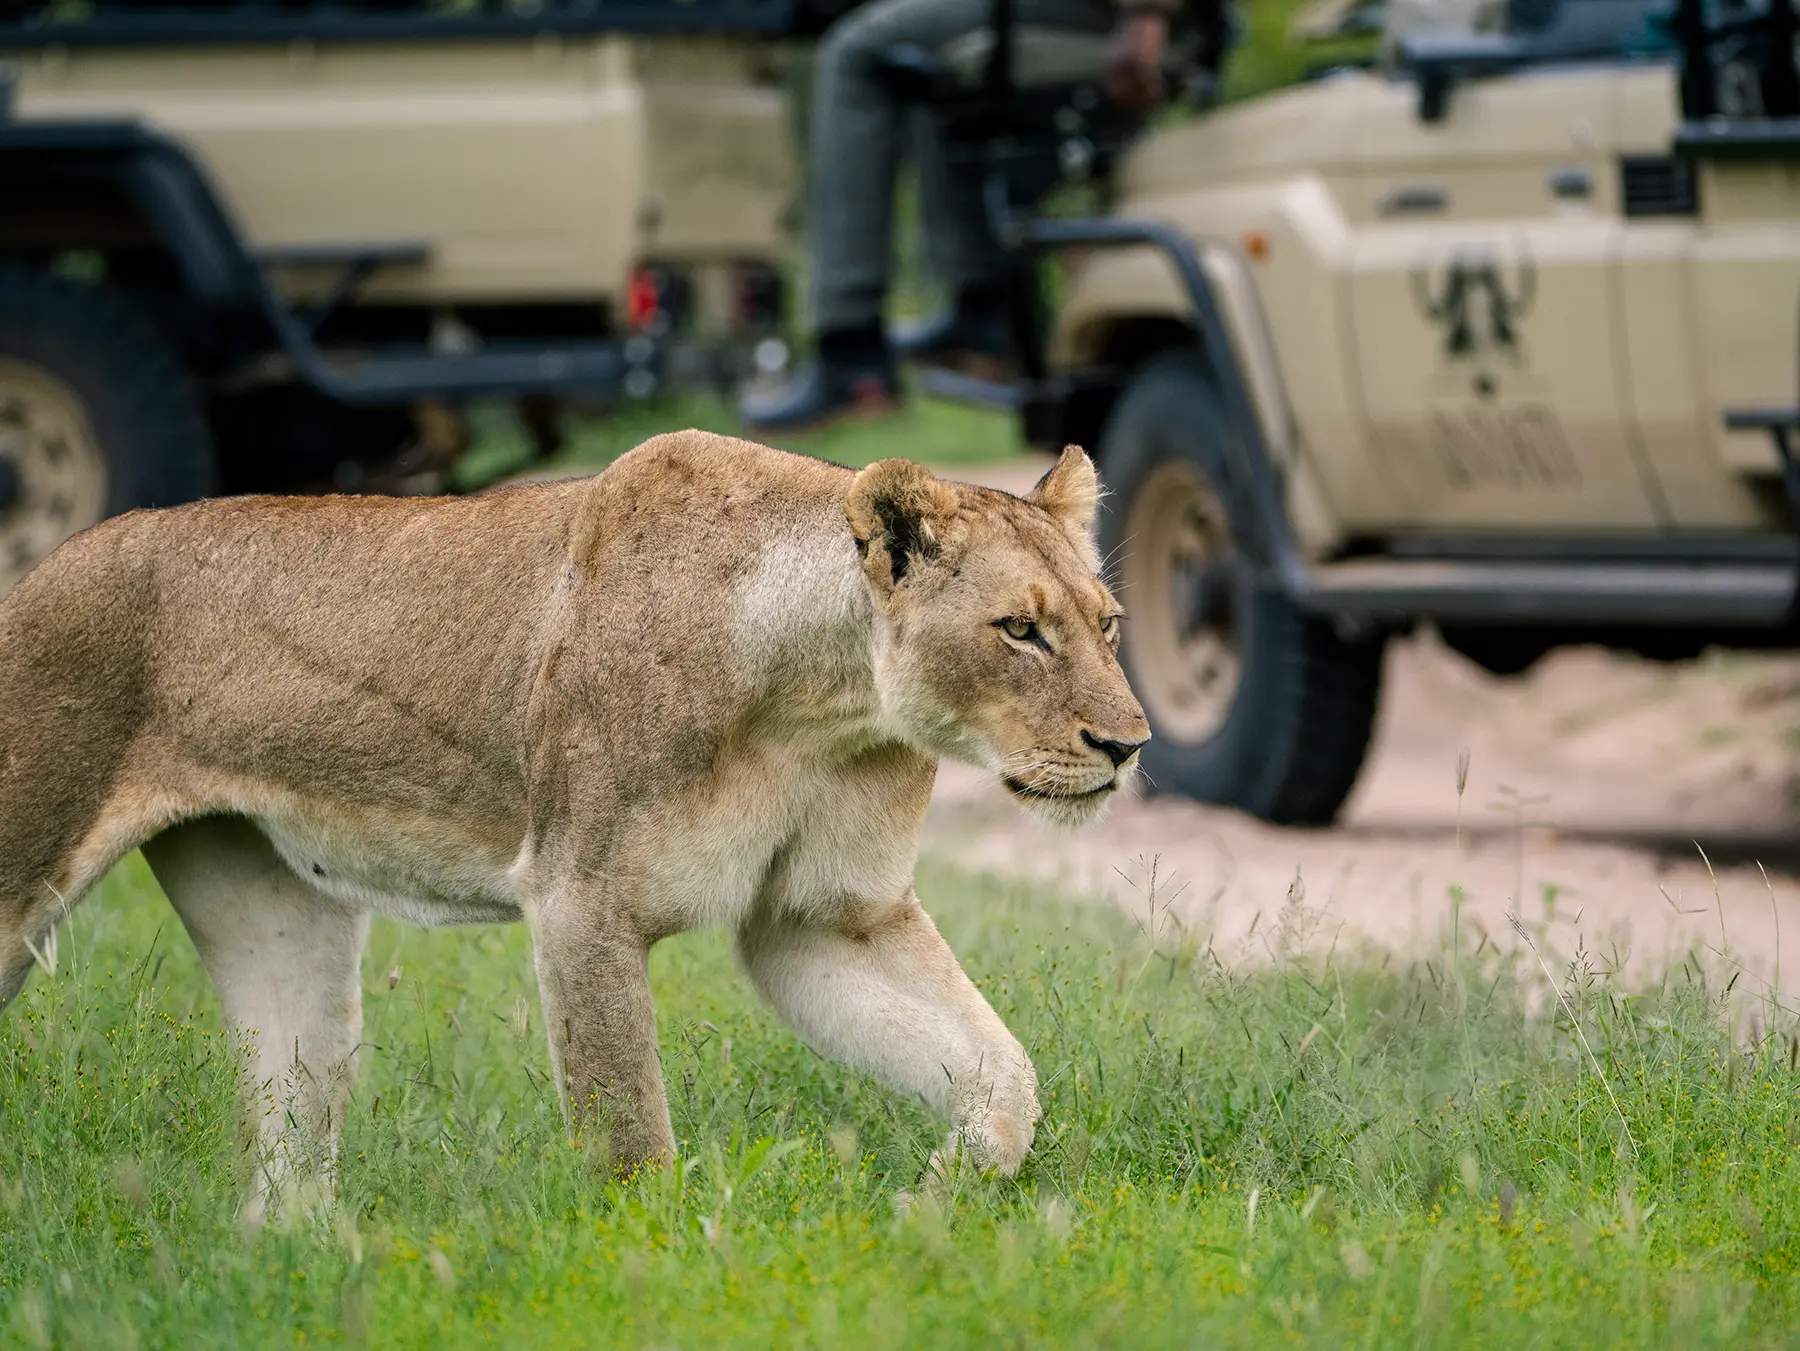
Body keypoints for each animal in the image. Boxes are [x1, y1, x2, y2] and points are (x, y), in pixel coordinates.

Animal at [0, 431, 1148, 1211]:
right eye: (1020, 630)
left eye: (1107, 624)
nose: (1128, 745)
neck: (824, 704)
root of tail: (39, 571)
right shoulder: (579, 896)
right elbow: (628, 1134)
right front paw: (652, 1265)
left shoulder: (825, 914)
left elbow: (1003, 1076)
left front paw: (934, 1198)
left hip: (277, 920)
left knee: (289, 1128)